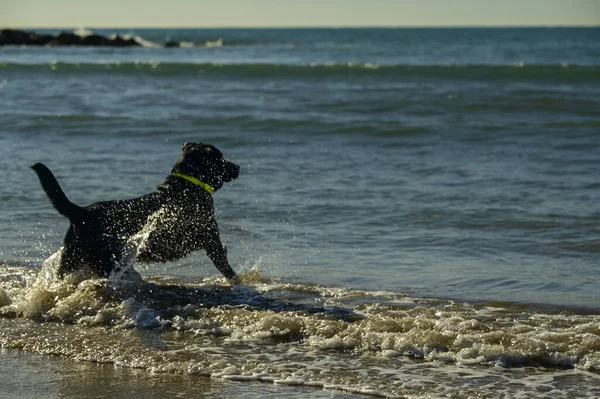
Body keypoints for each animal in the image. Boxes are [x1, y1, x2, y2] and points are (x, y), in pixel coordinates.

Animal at [32, 142, 239, 282]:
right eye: (221, 158)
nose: (238, 167)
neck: (187, 187)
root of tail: (81, 212)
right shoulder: (210, 239)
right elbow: (226, 267)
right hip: (104, 261)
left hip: (71, 258)